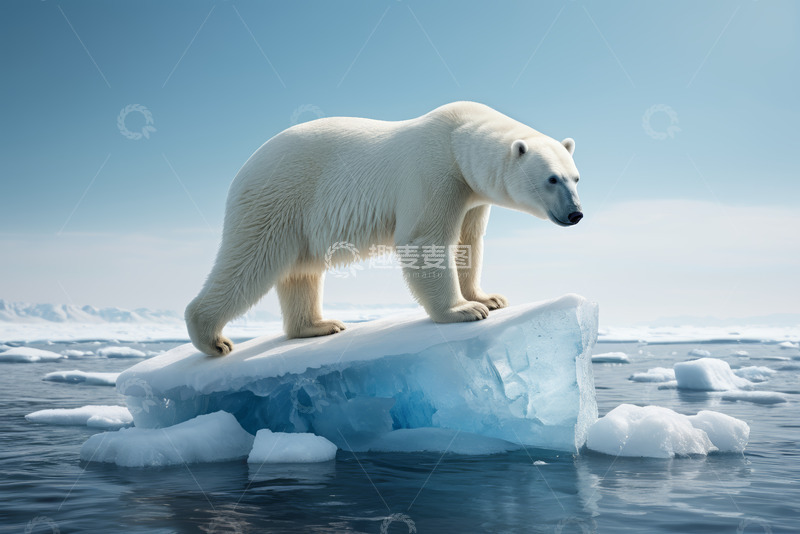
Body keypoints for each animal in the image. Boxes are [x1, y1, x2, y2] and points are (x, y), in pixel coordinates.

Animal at [186, 101, 583, 356]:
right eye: (552, 179)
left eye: (576, 177)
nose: (576, 213)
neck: (457, 138)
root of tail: (244, 168)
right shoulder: (434, 173)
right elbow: (426, 240)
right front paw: (464, 310)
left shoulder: (471, 196)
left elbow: (468, 243)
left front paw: (489, 298)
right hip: (278, 197)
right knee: (251, 262)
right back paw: (213, 339)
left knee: (300, 272)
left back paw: (319, 325)